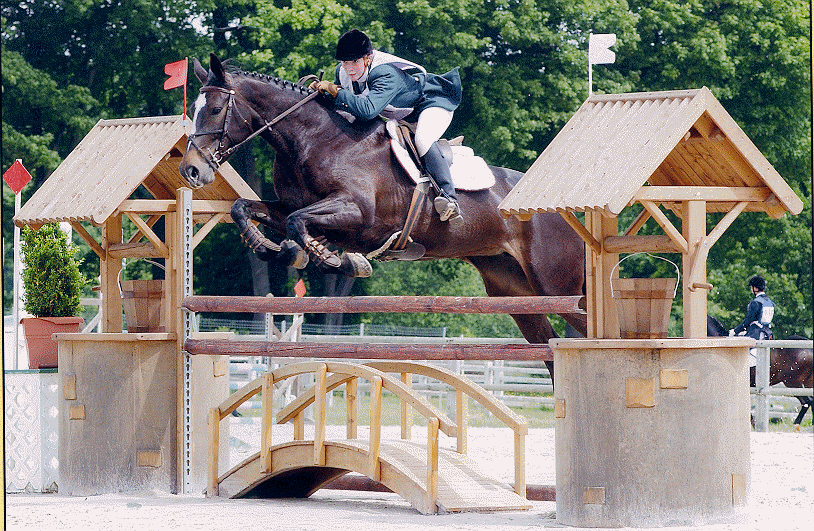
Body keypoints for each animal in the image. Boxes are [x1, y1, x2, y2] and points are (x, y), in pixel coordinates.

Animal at [177, 54, 588, 380]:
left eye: (214, 109)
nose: (191, 171)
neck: (313, 138)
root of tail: (561, 212)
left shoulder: (357, 212)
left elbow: (298, 223)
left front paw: (337, 260)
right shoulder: (291, 205)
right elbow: (248, 209)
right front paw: (277, 249)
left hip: (554, 285)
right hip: (514, 290)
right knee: (548, 347)